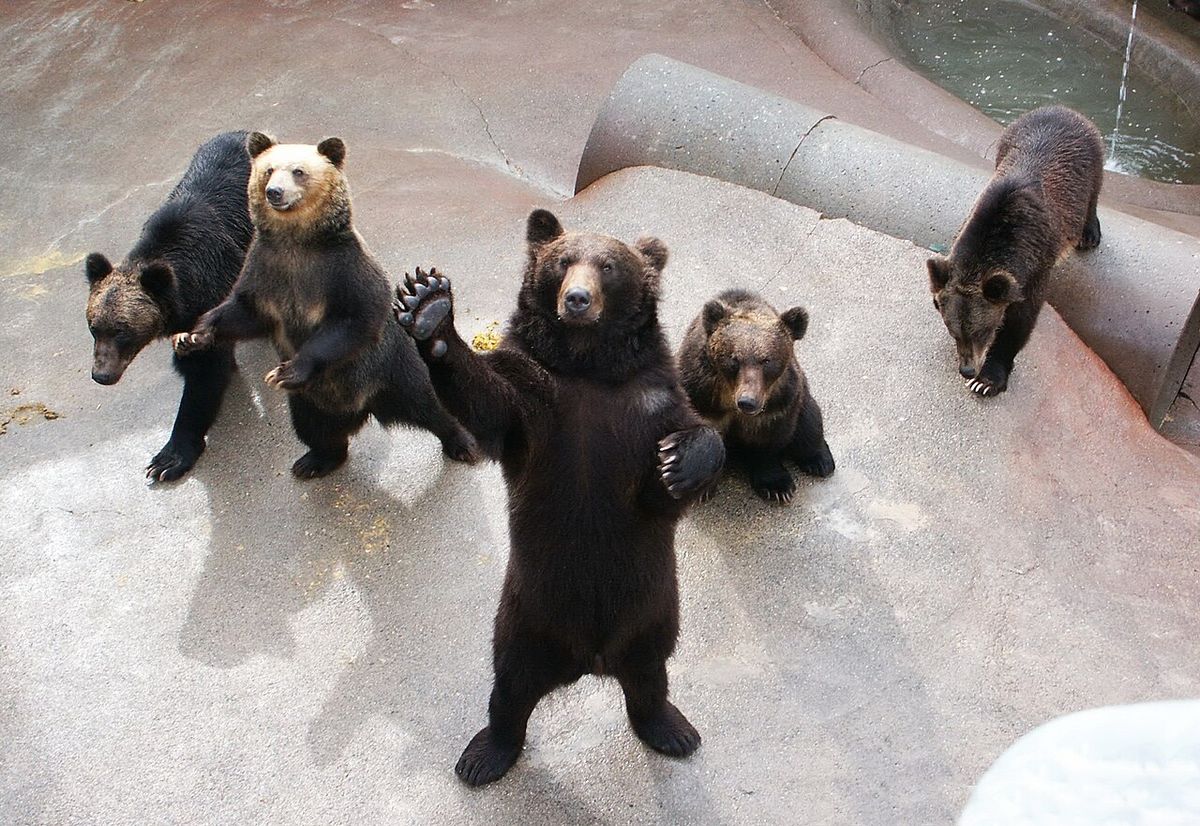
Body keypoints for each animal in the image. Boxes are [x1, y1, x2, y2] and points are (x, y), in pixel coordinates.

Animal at [85, 130, 253, 481]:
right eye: (94, 327)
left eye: (122, 331)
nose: (101, 375)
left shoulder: (210, 292)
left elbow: (204, 371)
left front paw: (169, 458)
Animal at [173, 132, 478, 477]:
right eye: (268, 170)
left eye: (298, 171)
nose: (274, 192)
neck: (297, 244)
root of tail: (364, 407)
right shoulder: (265, 270)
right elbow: (243, 312)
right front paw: (191, 336)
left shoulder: (343, 271)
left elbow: (353, 320)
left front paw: (287, 370)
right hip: (307, 401)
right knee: (316, 430)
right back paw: (315, 460)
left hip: (394, 372)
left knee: (429, 405)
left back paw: (461, 440)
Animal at [391, 209, 725, 786]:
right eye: (564, 261)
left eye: (609, 266)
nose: (578, 299)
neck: (588, 367)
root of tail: (591, 659)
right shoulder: (537, 402)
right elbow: (491, 402)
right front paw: (428, 304)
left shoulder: (649, 401)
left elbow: (683, 456)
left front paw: (680, 464)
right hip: (526, 613)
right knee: (510, 685)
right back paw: (484, 755)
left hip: (654, 608)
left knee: (651, 672)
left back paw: (672, 729)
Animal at [678, 288, 835, 503]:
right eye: (733, 359)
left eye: (767, 360)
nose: (747, 402)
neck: (727, 396)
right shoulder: (699, 393)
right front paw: (700, 488)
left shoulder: (778, 403)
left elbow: (768, 441)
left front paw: (777, 487)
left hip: (804, 400)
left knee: (810, 423)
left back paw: (820, 461)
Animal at [927, 105, 1104, 397]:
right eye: (953, 331)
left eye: (982, 331)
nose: (967, 369)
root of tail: (1059, 109)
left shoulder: (1035, 266)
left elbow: (1020, 321)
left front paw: (986, 380)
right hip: (1005, 141)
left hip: (1090, 157)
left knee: (1094, 191)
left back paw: (1089, 233)